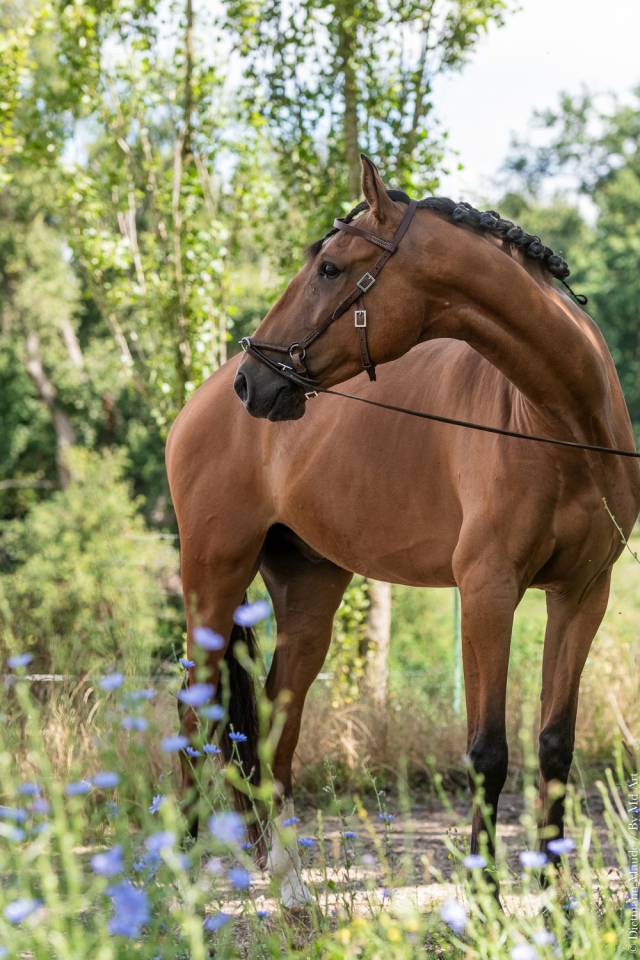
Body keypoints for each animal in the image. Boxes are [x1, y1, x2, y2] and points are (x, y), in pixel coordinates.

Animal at [166, 155, 639, 905]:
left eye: (331, 267)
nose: (253, 381)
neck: (558, 425)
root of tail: (202, 404)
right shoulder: (487, 593)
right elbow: (487, 750)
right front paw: (486, 898)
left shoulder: (583, 594)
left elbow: (555, 745)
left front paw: (554, 895)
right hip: (212, 582)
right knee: (193, 718)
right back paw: (184, 883)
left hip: (309, 596)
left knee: (275, 723)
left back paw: (291, 887)